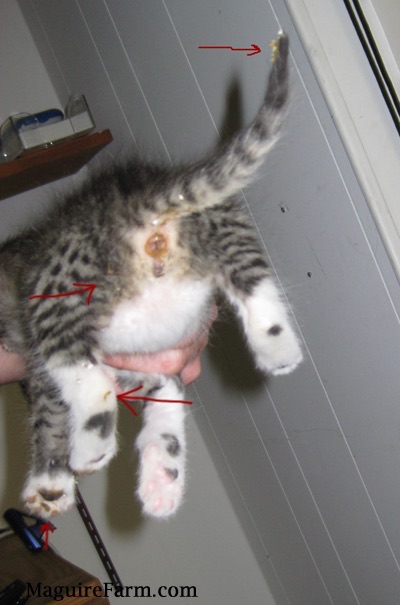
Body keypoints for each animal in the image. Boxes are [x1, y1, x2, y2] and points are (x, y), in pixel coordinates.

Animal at [0, 30, 300, 516]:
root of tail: (136, 200)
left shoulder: (40, 371)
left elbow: (49, 417)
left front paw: (50, 484)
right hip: (221, 228)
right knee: (250, 287)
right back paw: (275, 351)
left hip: (57, 289)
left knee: (86, 377)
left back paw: (95, 443)